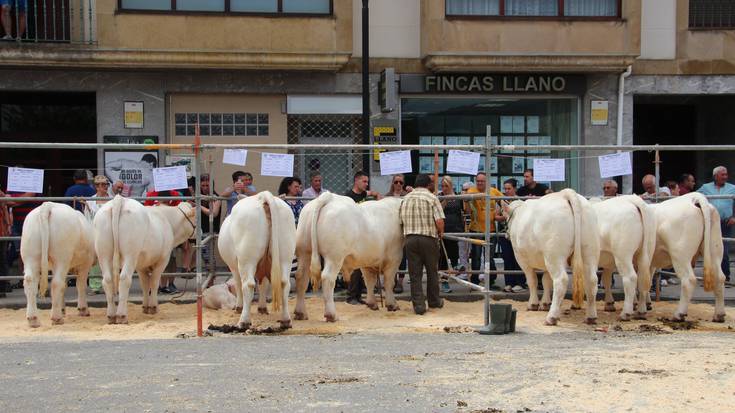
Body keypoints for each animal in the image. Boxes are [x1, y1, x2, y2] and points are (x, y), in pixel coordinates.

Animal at [93, 195, 197, 324]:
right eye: (195, 220)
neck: (167, 220)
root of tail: (120, 199)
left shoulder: (141, 265)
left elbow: (145, 284)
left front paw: (145, 307)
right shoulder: (163, 259)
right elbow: (154, 282)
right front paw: (153, 307)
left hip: (103, 254)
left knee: (107, 280)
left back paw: (111, 316)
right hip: (130, 254)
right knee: (124, 279)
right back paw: (122, 316)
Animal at [218, 190, 296, 328]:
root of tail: (262, 196)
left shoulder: (234, 266)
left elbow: (238, 283)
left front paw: (239, 307)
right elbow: (263, 284)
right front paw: (262, 308)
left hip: (247, 258)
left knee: (248, 284)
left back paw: (244, 321)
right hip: (286, 256)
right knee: (284, 283)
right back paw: (286, 320)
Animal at [294, 193, 402, 322]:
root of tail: (328, 197)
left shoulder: (367, 260)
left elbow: (369, 281)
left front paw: (372, 304)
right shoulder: (394, 258)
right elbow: (389, 282)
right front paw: (392, 305)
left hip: (304, 252)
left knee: (301, 277)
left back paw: (300, 313)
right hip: (334, 256)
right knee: (328, 278)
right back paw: (331, 315)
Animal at [506, 187, 604, 326]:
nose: (506, 235)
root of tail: (565, 194)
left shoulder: (521, 259)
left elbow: (532, 280)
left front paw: (533, 304)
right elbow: (546, 281)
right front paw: (545, 303)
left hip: (554, 255)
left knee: (560, 280)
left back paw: (551, 317)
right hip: (589, 250)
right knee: (591, 280)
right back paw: (591, 317)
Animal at [648, 192, 724, 320]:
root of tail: (694, 198)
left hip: (680, 254)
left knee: (688, 280)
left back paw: (679, 314)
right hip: (715, 249)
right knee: (720, 277)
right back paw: (719, 315)